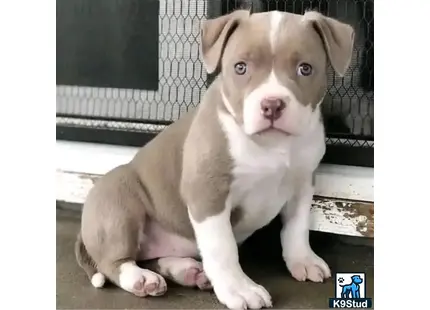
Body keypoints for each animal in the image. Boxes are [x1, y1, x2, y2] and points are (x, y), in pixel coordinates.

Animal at [75, 8, 354, 308]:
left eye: (305, 68)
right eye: (240, 67)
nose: (272, 105)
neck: (270, 145)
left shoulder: (302, 184)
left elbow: (297, 227)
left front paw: (303, 260)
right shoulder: (208, 193)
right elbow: (222, 247)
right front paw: (239, 289)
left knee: (151, 257)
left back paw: (186, 270)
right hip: (118, 203)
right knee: (114, 262)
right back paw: (141, 279)